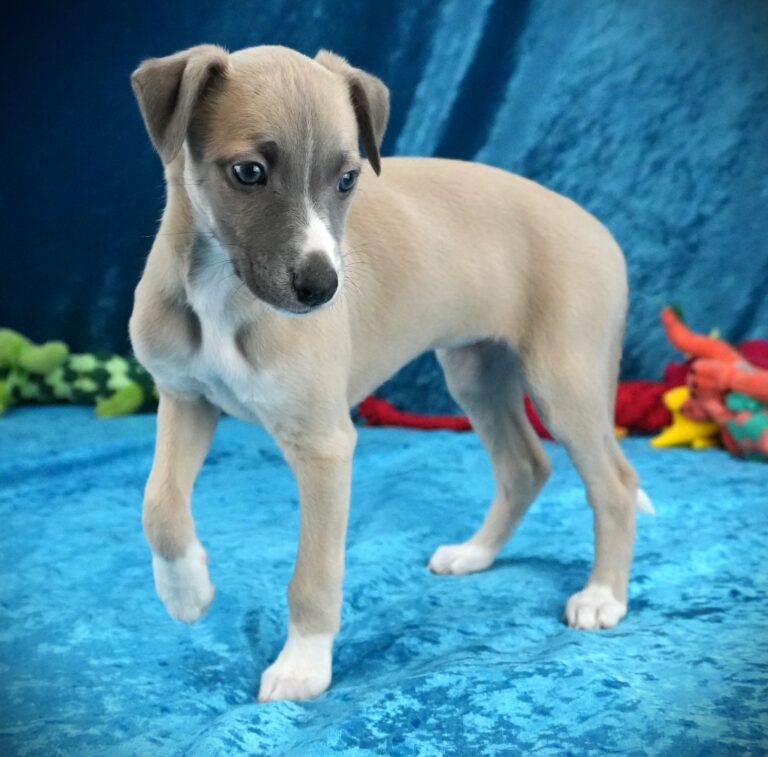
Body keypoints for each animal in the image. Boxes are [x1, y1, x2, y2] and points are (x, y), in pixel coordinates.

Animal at [130, 44, 650, 703]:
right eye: (248, 172)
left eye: (348, 179)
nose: (323, 288)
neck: (225, 294)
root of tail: (599, 229)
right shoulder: (184, 398)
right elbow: (159, 505)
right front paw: (186, 592)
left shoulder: (325, 446)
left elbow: (314, 574)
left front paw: (303, 666)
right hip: (477, 373)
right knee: (525, 467)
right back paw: (474, 554)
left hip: (565, 384)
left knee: (615, 484)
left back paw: (602, 596)